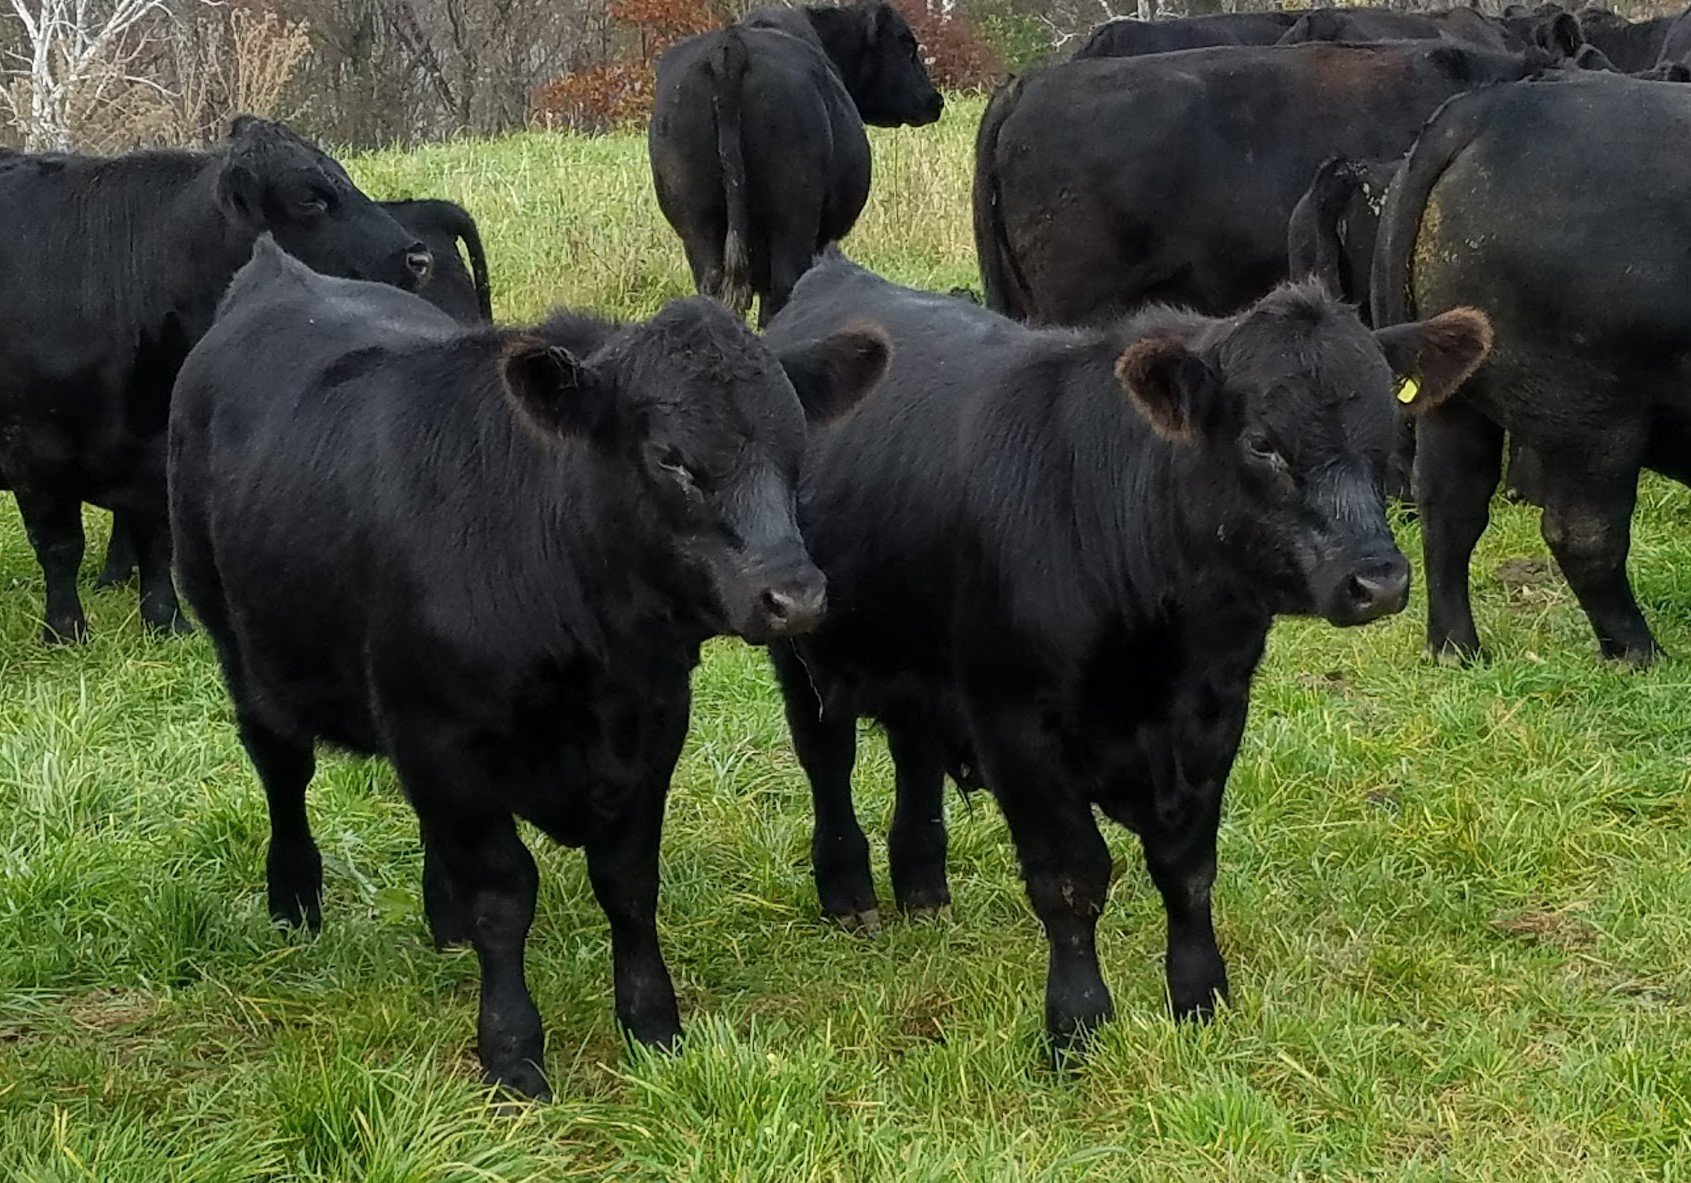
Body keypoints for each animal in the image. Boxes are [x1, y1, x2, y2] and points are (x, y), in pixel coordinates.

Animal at [0, 116, 430, 645]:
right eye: (310, 198)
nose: (418, 258)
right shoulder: (33, 451)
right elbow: (60, 546)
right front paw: (66, 632)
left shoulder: (158, 454)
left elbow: (157, 540)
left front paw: (166, 621)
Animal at [169, 237, 889, 1099]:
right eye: (671, 459)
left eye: (795, 449)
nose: (795, 594)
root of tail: (278, 270)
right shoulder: (443, 737)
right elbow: (504, 895)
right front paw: (512, 1052)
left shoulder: (653, 729)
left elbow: (628, 884)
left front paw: (652, 1024)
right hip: (237, 641)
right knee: (282, 769)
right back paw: (295, 897)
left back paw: (438, 916)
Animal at [649, 1, 943, 327]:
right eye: (907, 45)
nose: (935, 100)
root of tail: (730, 48)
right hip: (792, 216)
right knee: (782, 289)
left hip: (698, 220)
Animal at [762, 251, 1490, 1056]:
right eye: (1262, 442)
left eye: (1389, 428)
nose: (1379, 580)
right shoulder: (1016, 724)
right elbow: (1071, 877)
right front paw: (1076, 1023)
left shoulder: (1215, 715)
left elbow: (1188, 868)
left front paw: (1200, 997)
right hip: (801, 644)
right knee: (826, 757)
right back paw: (848, 892)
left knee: (913, 751)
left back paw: (923, 889)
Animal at [1373, 73, 1691, 666]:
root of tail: (1497, 103)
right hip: (1594, 415)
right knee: (1584, 534)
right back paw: (1640, 653)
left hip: (1455, 396)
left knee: (1449, 506)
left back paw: (1456, 648)